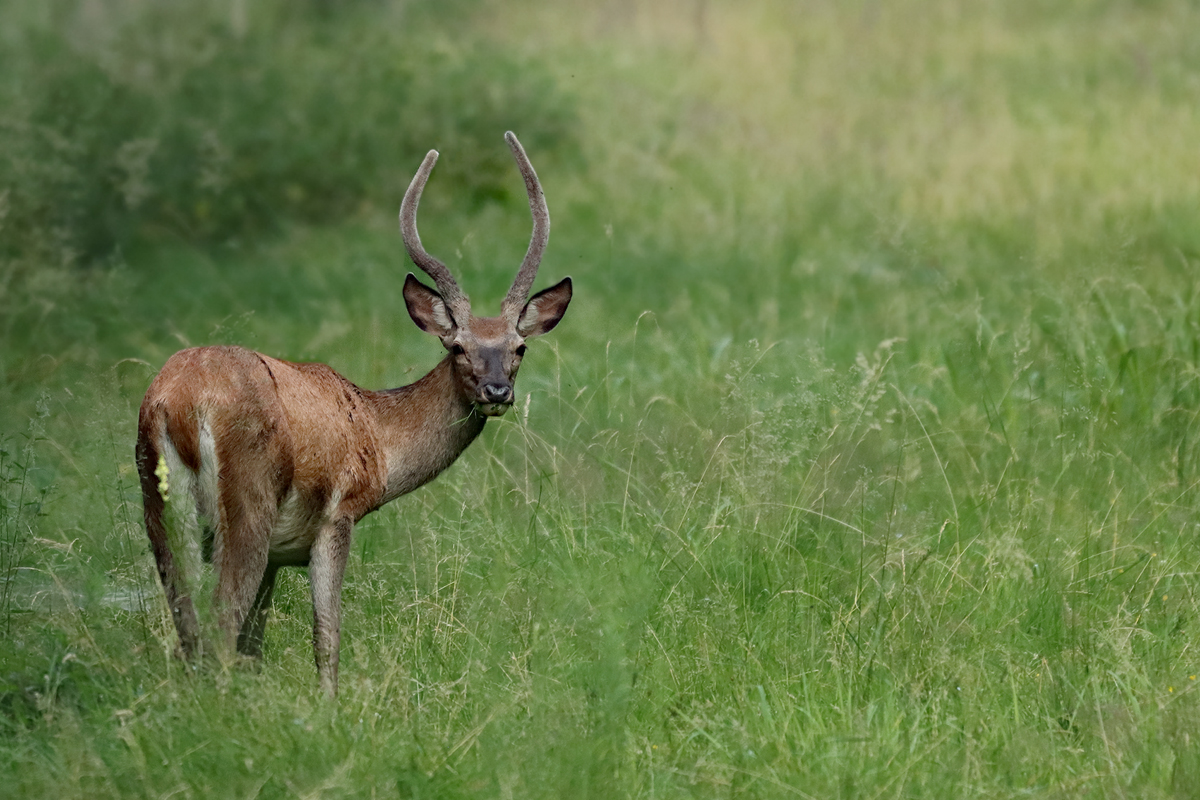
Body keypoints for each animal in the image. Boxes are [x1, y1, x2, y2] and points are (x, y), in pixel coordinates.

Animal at [133, 131, 573, 695]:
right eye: (457, 347)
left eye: (519, 347)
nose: (497, 391)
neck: (376, 435)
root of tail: (180, 403)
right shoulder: (337, 515)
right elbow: (327, 640)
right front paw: (329, 704)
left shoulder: (279, 555)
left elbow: (258, 646)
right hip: (247, 501)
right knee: (218, 630)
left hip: (161, 510)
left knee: (190, 633)